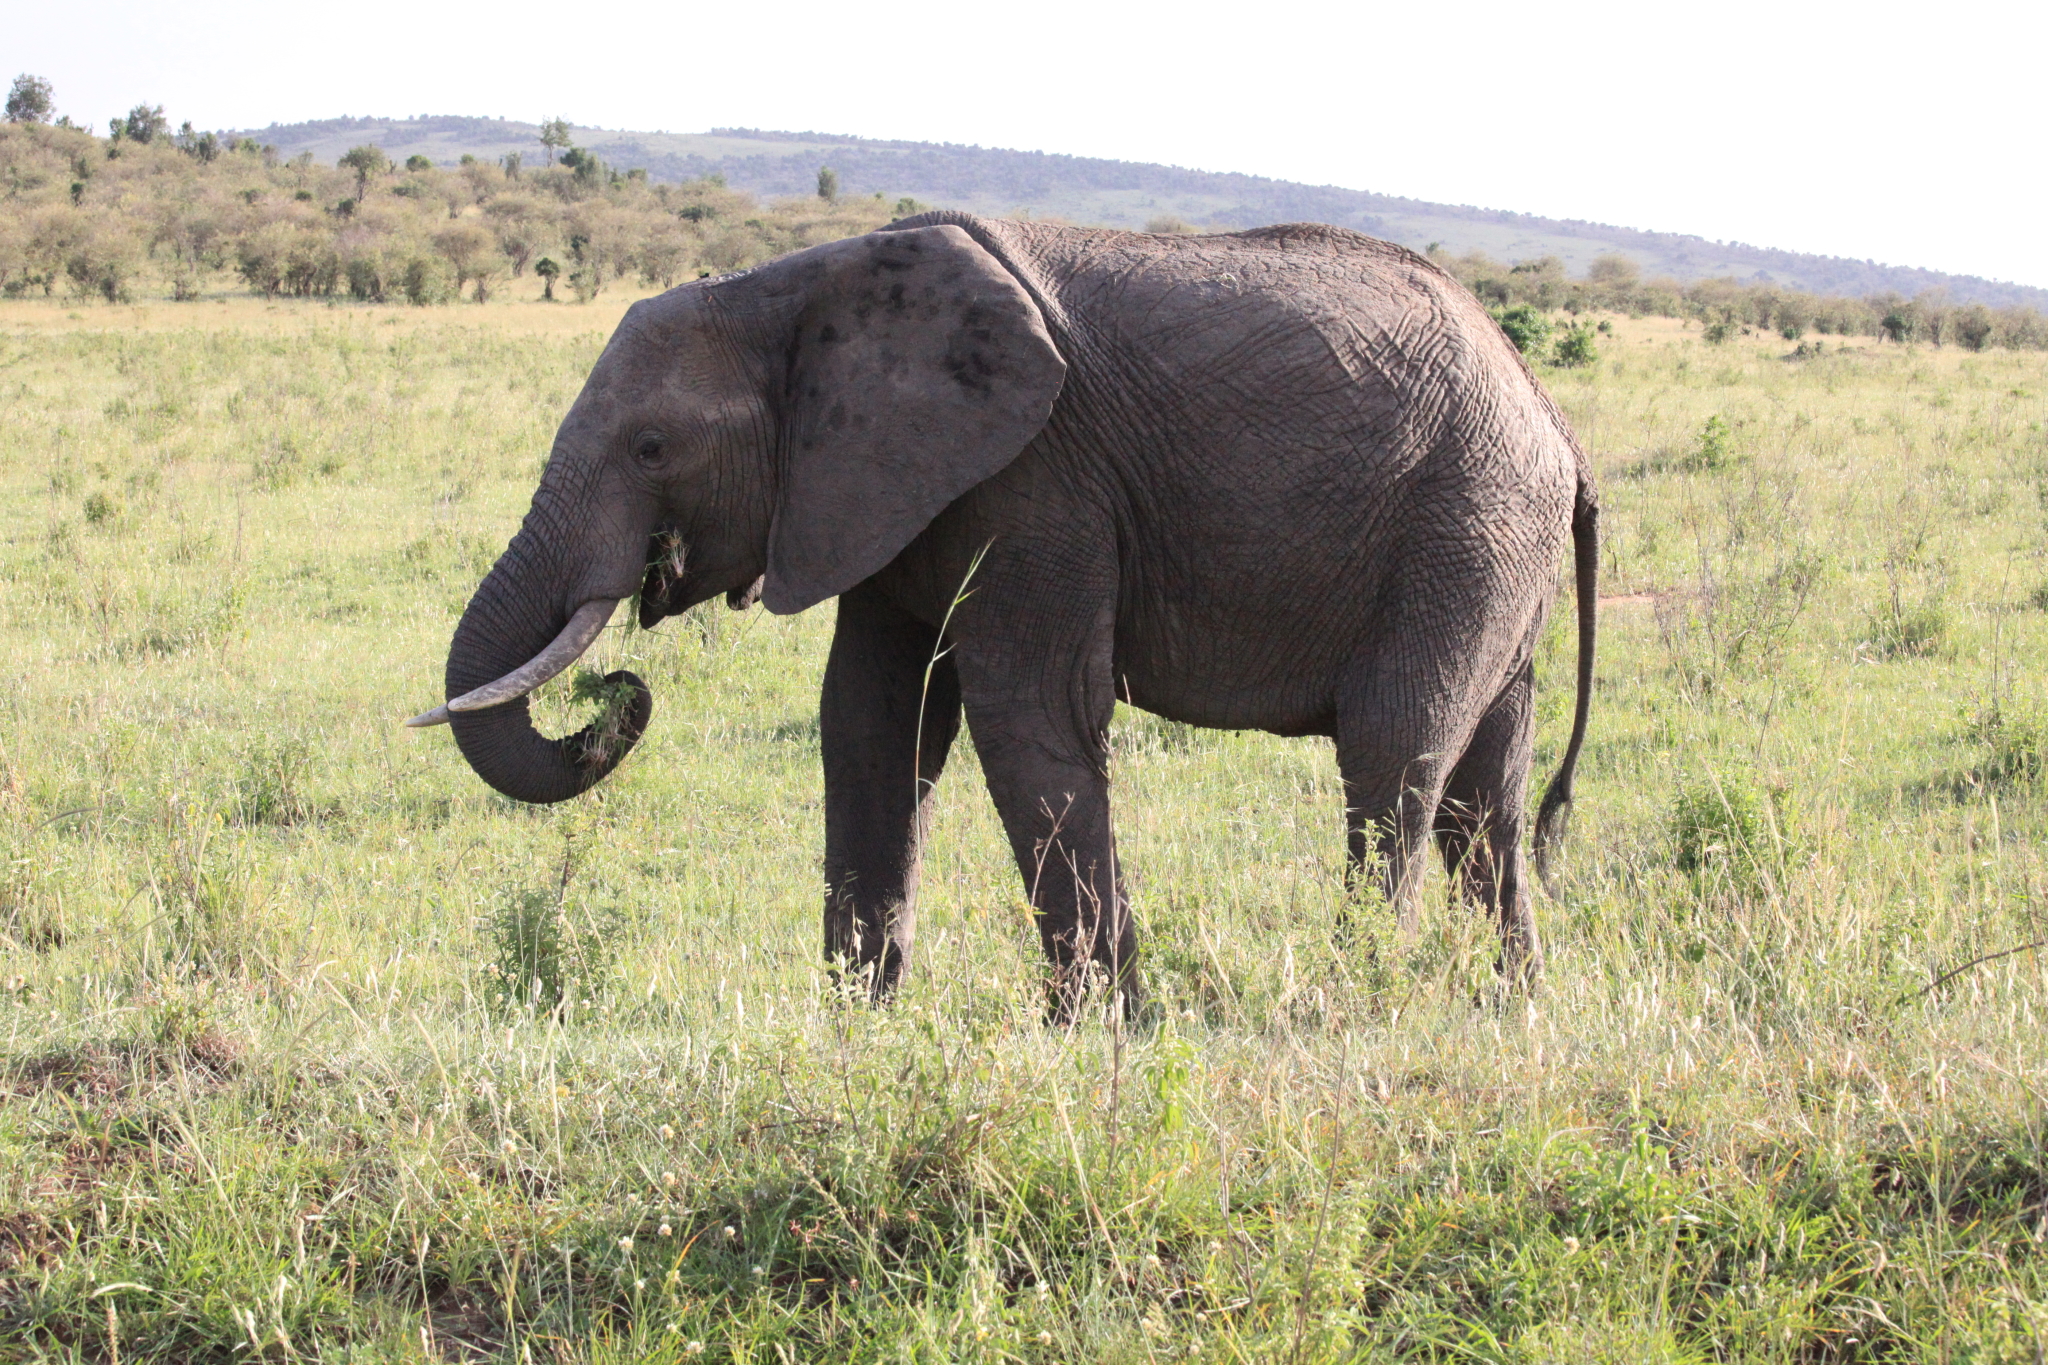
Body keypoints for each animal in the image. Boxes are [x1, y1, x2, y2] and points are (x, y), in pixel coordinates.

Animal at [411, 213, 1597, 1019]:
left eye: (653, 448)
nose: (614, 682)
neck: (797, 287)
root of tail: (1556, 422)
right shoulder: (880, 486)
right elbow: (871, 719)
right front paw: (857, 1028)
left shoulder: (1035, 480)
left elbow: (1026, 712)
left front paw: (1101, 1034)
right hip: (1495, 551)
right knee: (1485, 793)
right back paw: (1511, 1008)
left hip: (1463, 522)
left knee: (1395, 758)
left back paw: (1357, 998)